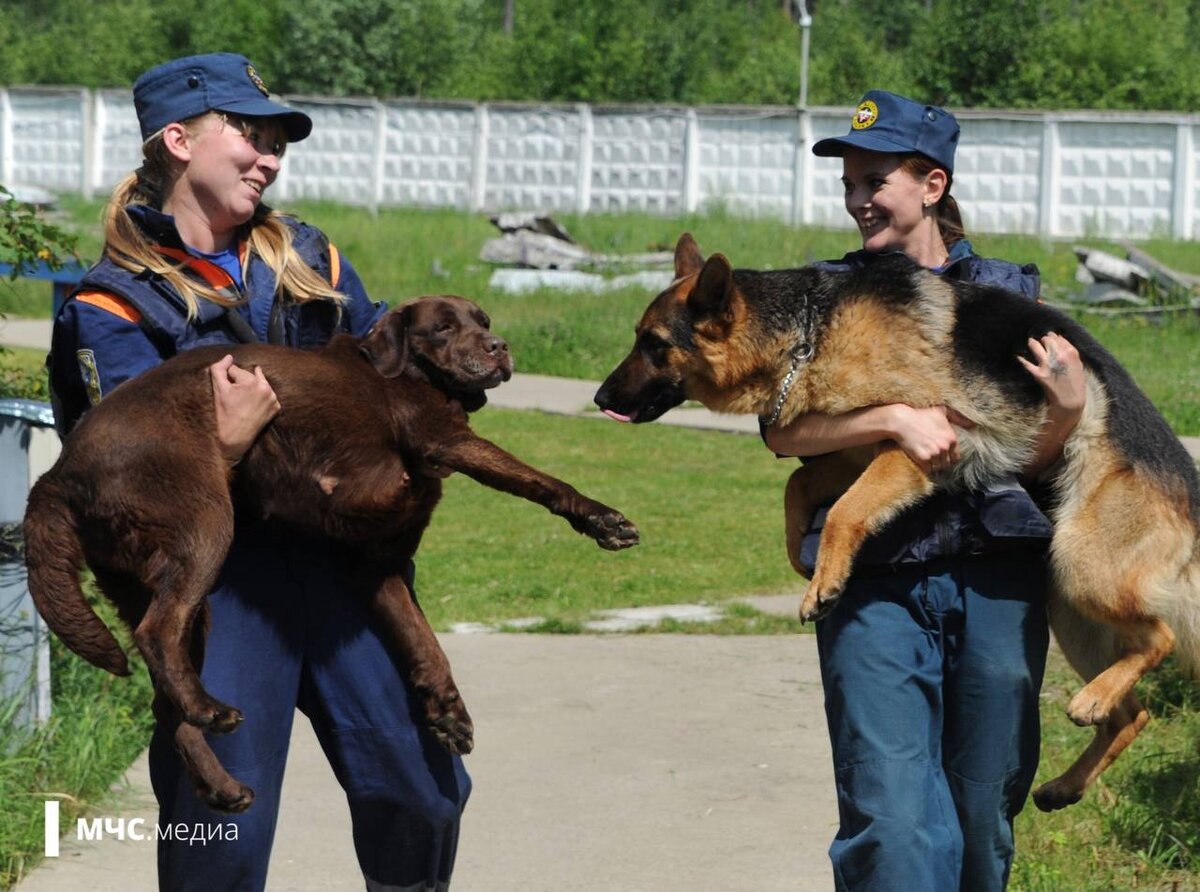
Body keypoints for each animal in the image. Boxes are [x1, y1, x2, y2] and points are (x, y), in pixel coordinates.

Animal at [25, 296, 638, 811]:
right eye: (443, 328)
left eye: (482, 321)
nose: (499, 346)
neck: (405, 375)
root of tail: (59, 473)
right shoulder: (445, 440)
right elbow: (540, 480)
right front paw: (601, 519)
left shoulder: (376, 567)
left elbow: (425, 643)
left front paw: (448, 713)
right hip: (205, 527)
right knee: (159, 634)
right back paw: (210, 708)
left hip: (160, 589)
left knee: (163, 699)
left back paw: (222, 785)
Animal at [597, 234, 1200, 811]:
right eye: (637, 337)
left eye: (654, 343)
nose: (601, 398)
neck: (808, 331)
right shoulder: (858, 447)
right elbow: (799, 487)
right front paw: (801, 553)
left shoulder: (915, 447)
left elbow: (843, 510)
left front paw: (824, 583)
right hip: (1070, 607)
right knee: (1134, 715)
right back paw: (1067, 780)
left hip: (1082, 565)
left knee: (1161, 638)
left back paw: (1094, 698)